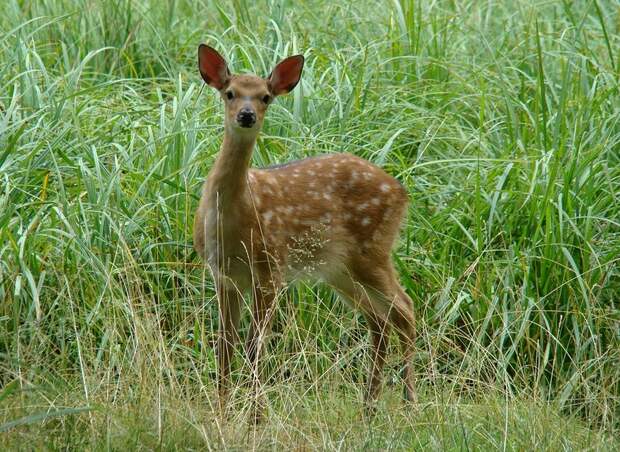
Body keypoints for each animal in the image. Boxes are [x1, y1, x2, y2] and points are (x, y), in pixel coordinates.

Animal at [194, 44, 416, 414]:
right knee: (380, 320)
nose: (246, 115)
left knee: (406, 309)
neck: (232, 220)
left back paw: (409, 401)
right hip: (339, 269)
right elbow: (225, 345)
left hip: (372, 251)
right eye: (230, 93)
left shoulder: (271, 268)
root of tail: (401, 192)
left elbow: (255, 345)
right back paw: (369, 407)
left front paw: (256, 416)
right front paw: (222, 412)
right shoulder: (223, 274)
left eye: (266, 97)